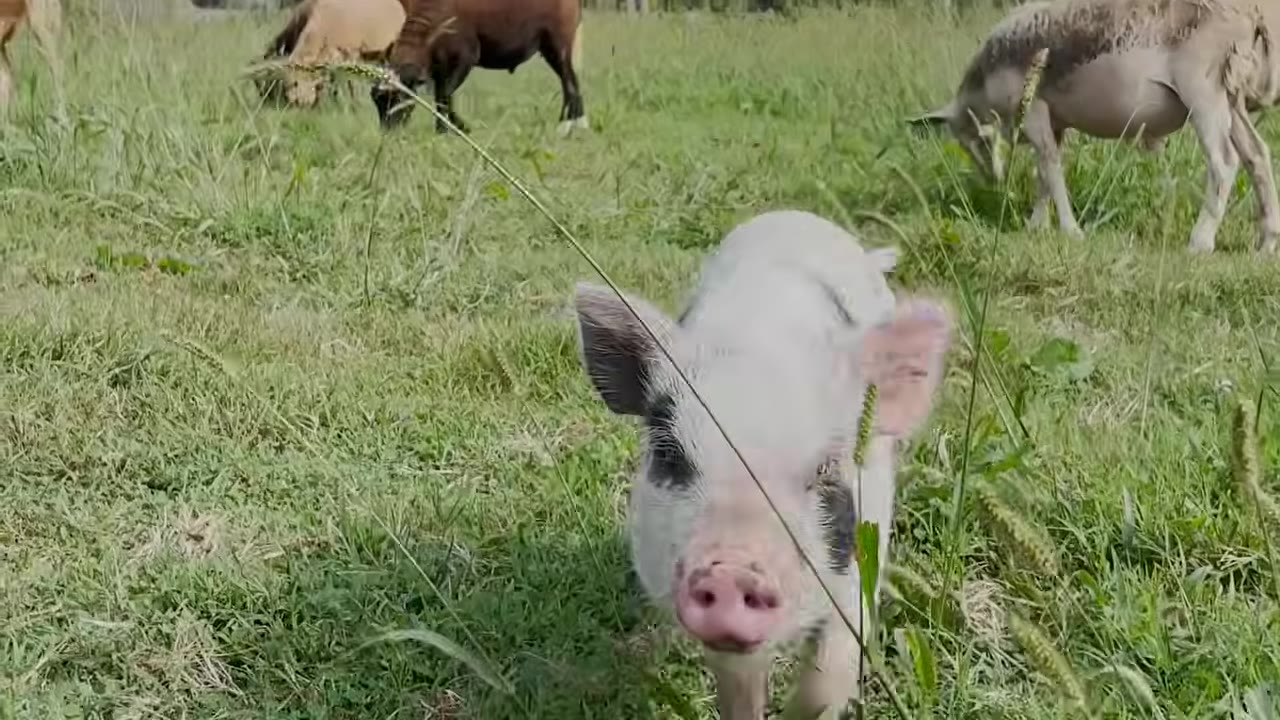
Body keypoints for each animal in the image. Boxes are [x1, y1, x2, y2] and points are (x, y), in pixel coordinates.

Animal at [573, 210, 953, 719]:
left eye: (825, 469)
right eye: (670, 455)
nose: (731, 569)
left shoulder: (865, 541)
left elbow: (834, 666)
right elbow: (739, 687)